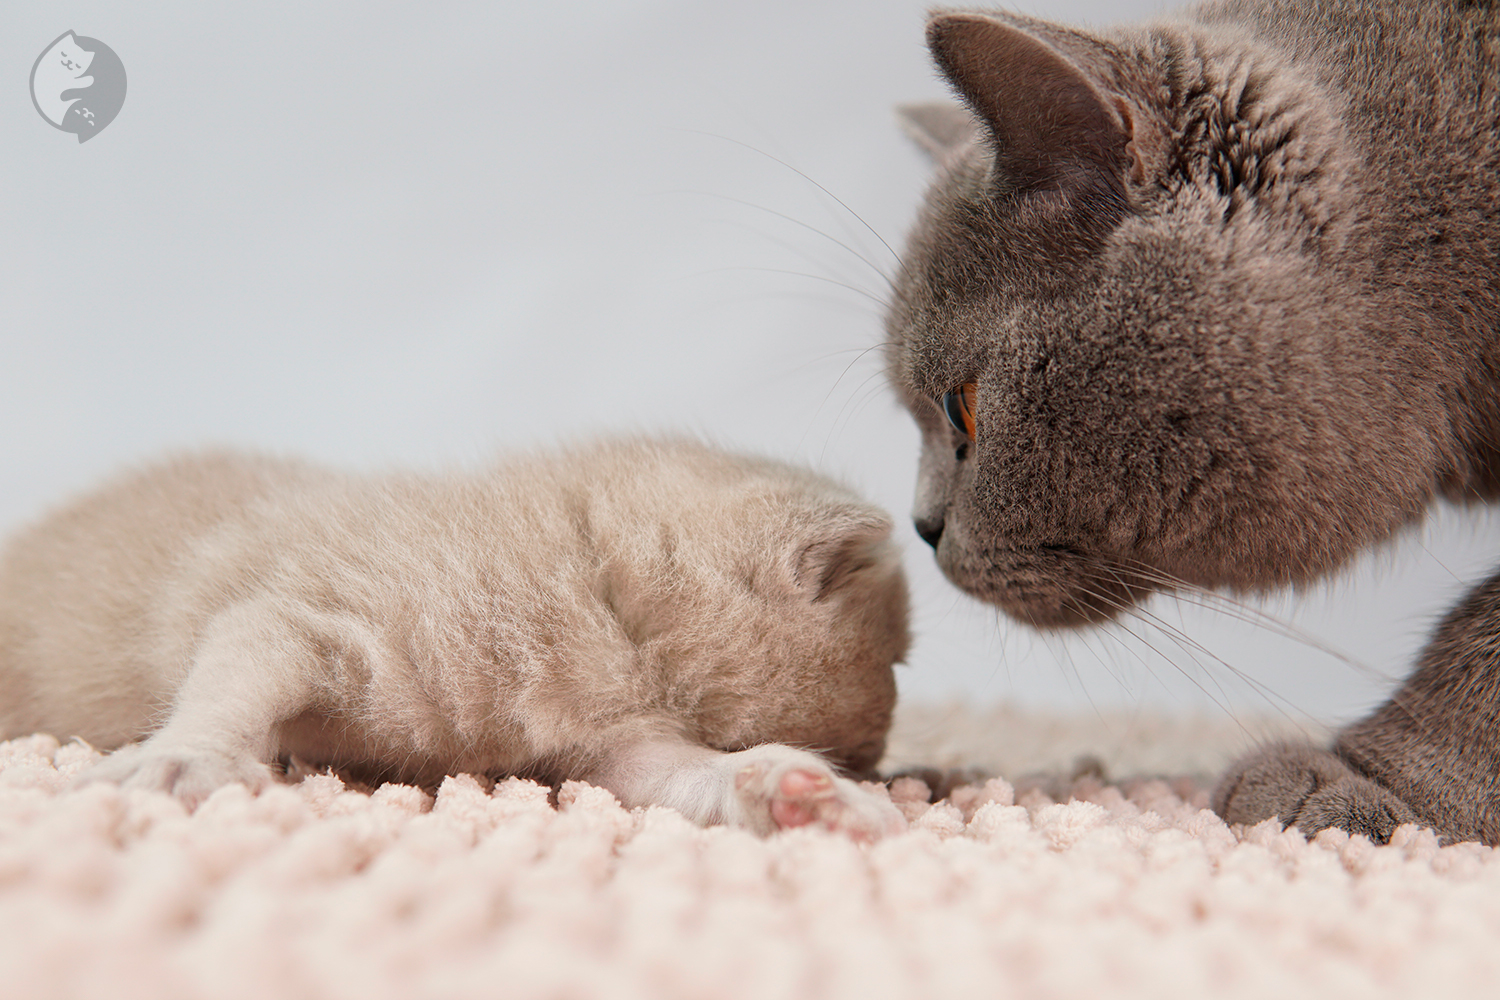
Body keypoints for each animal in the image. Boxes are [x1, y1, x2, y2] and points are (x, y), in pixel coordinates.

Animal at [0, 437, 900, 839]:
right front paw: (176, 763)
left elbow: (678, 774)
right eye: (896, 659)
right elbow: (236, 674)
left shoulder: (611, 745)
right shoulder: (304, 614)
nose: (876, 759)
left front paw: (795, 791)